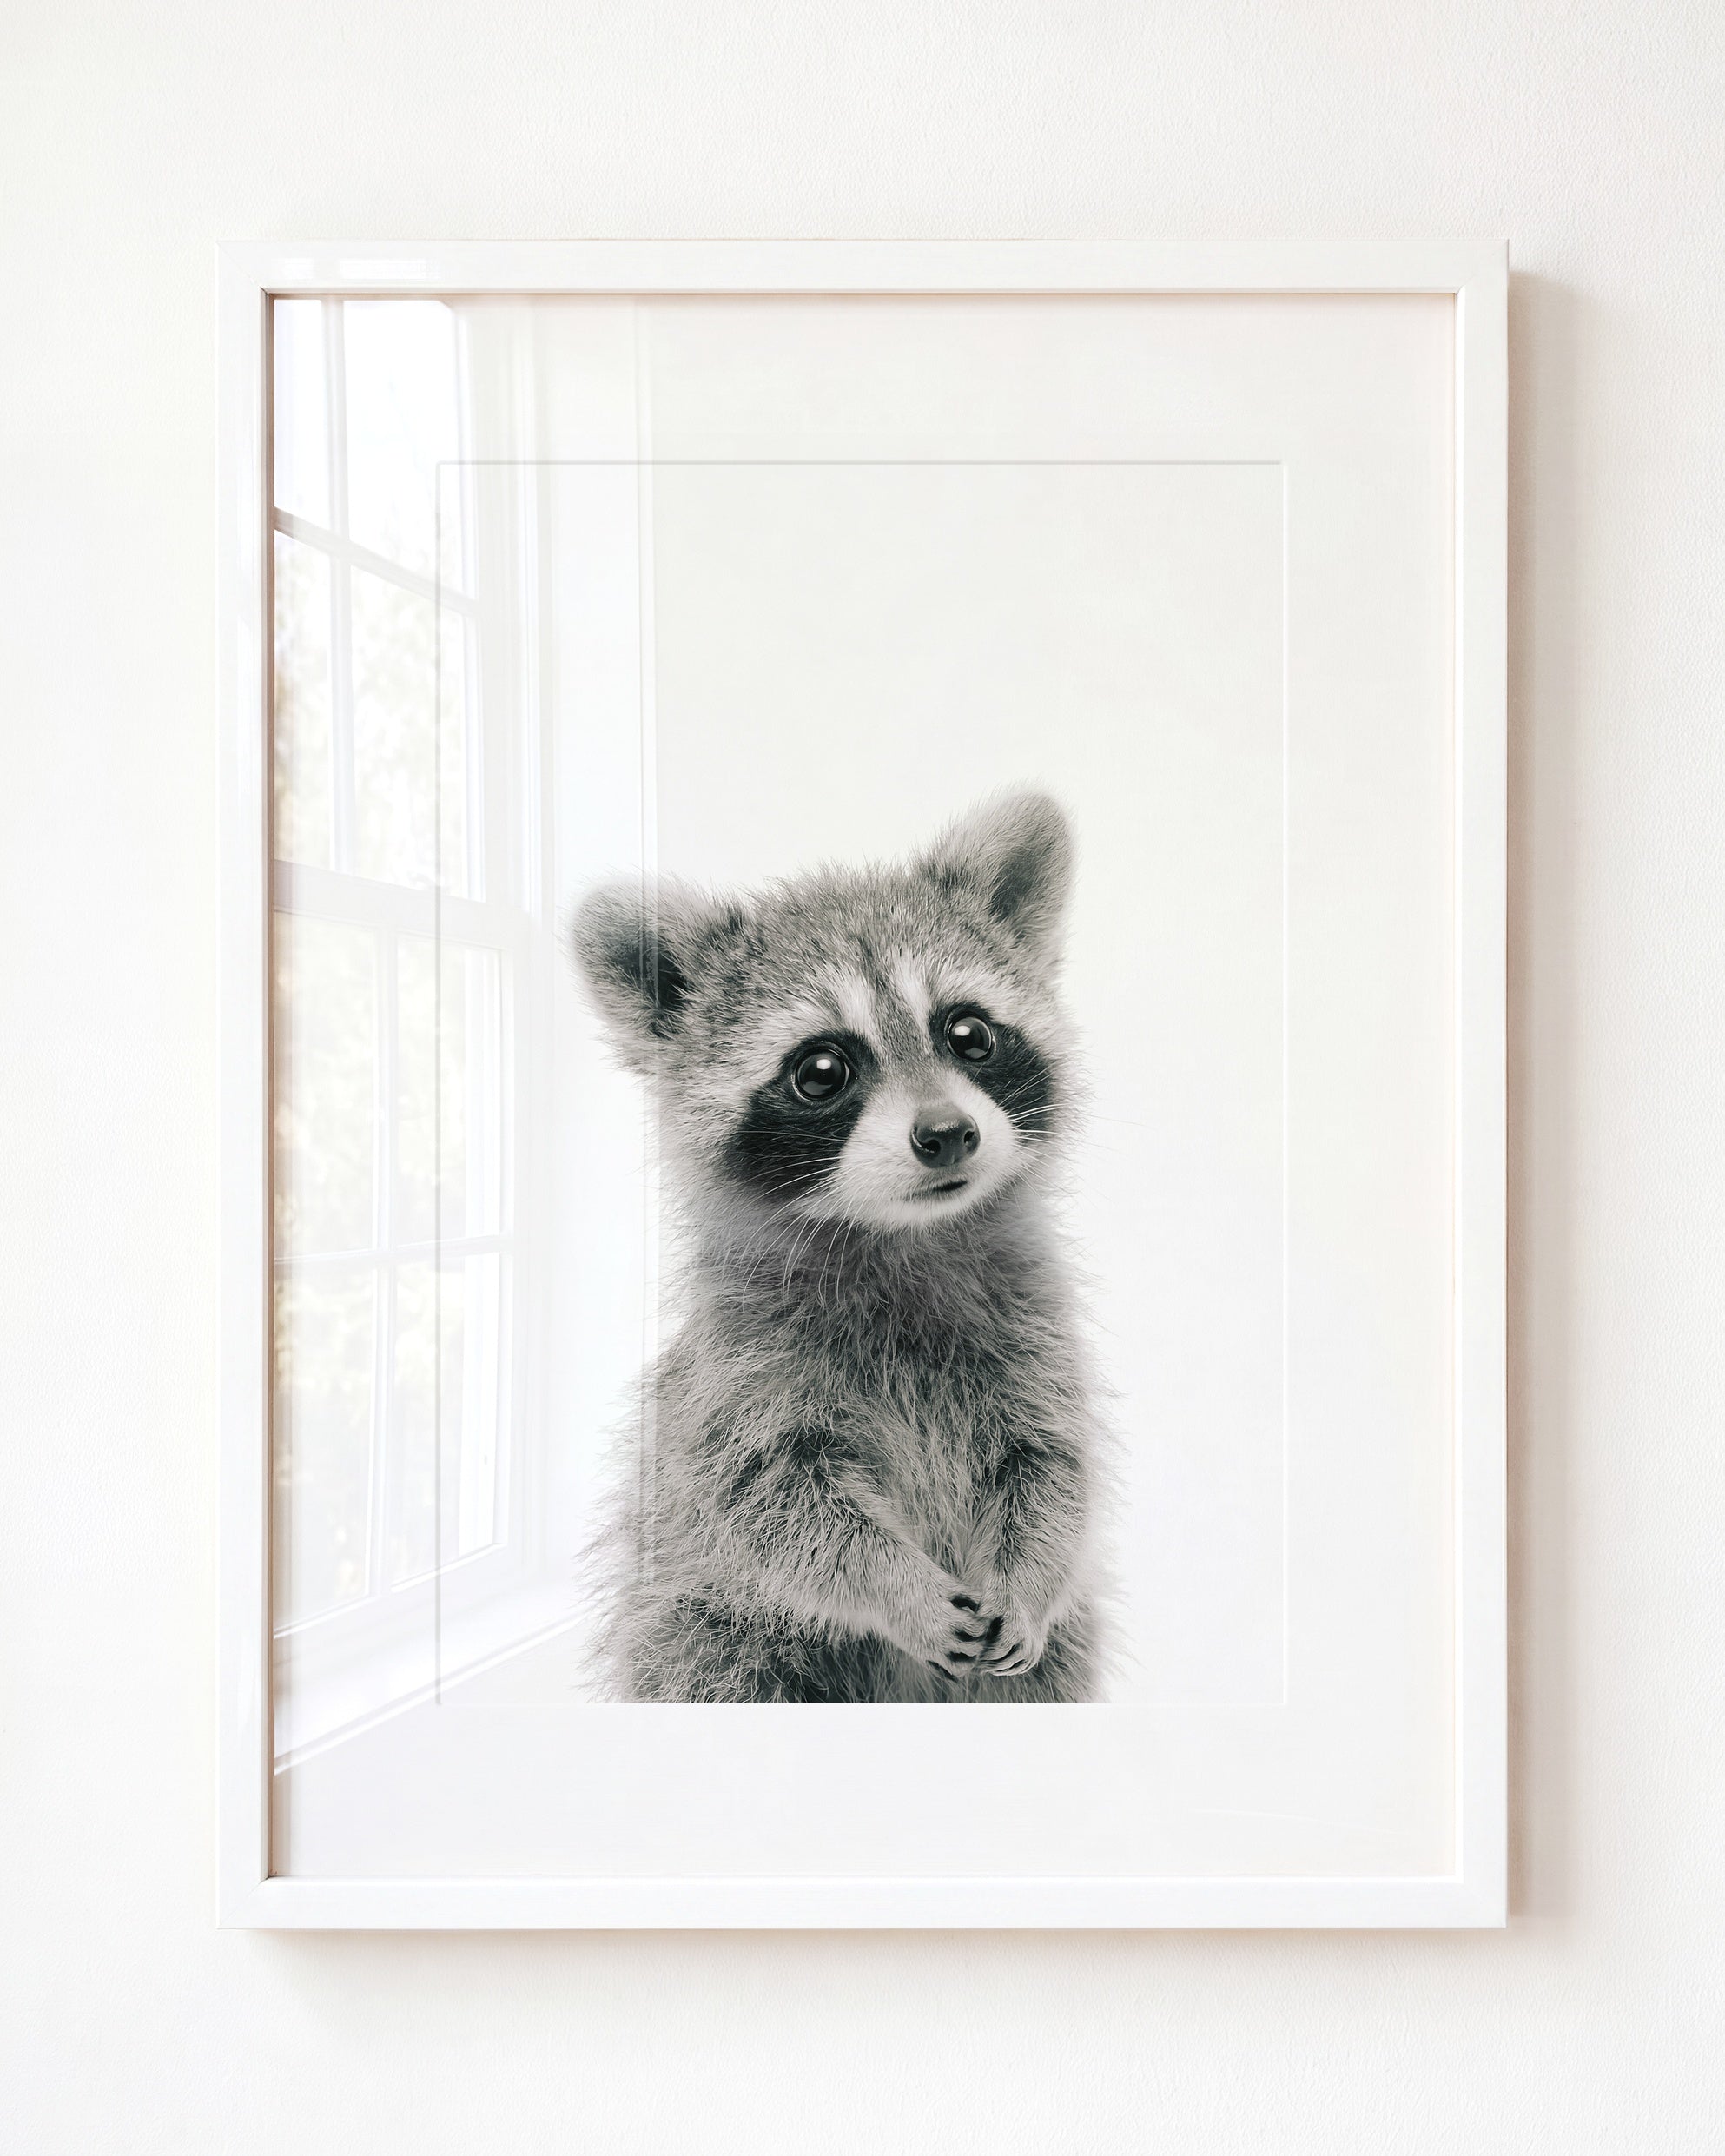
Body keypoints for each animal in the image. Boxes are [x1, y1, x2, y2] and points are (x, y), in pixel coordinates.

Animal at [569, 790, 1108, 1702]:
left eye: (969, 1034)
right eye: (821, 1070)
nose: (947, 1134)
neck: (902, 1237)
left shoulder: (1036, 1337)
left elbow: (1052, 1466)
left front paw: (1029, 1578)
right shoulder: (738, 1377)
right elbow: (776, 1507)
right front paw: (899, 1589)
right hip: (707, 1631)